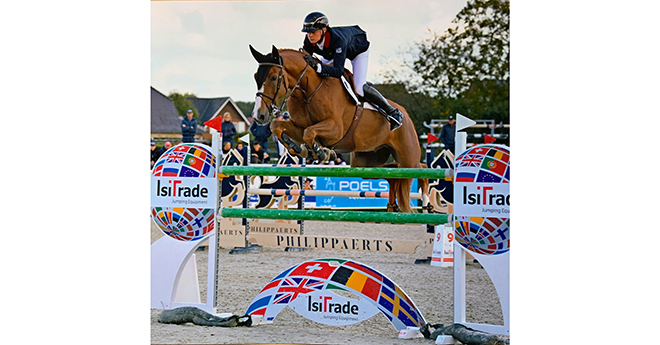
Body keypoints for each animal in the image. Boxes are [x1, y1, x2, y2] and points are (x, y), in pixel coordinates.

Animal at [250, 45, 426, 212]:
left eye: (273, 77)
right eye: (255, 77)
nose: (259, 115)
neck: (308, 90)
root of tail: (406, 115)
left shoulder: (335, 130)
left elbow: (309, 133)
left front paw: (321, 152)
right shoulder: (299, 127)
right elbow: (278, 127)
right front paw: (299, 149)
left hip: (408, 159)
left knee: (421, 170)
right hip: (364, 161)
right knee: (393, 174)